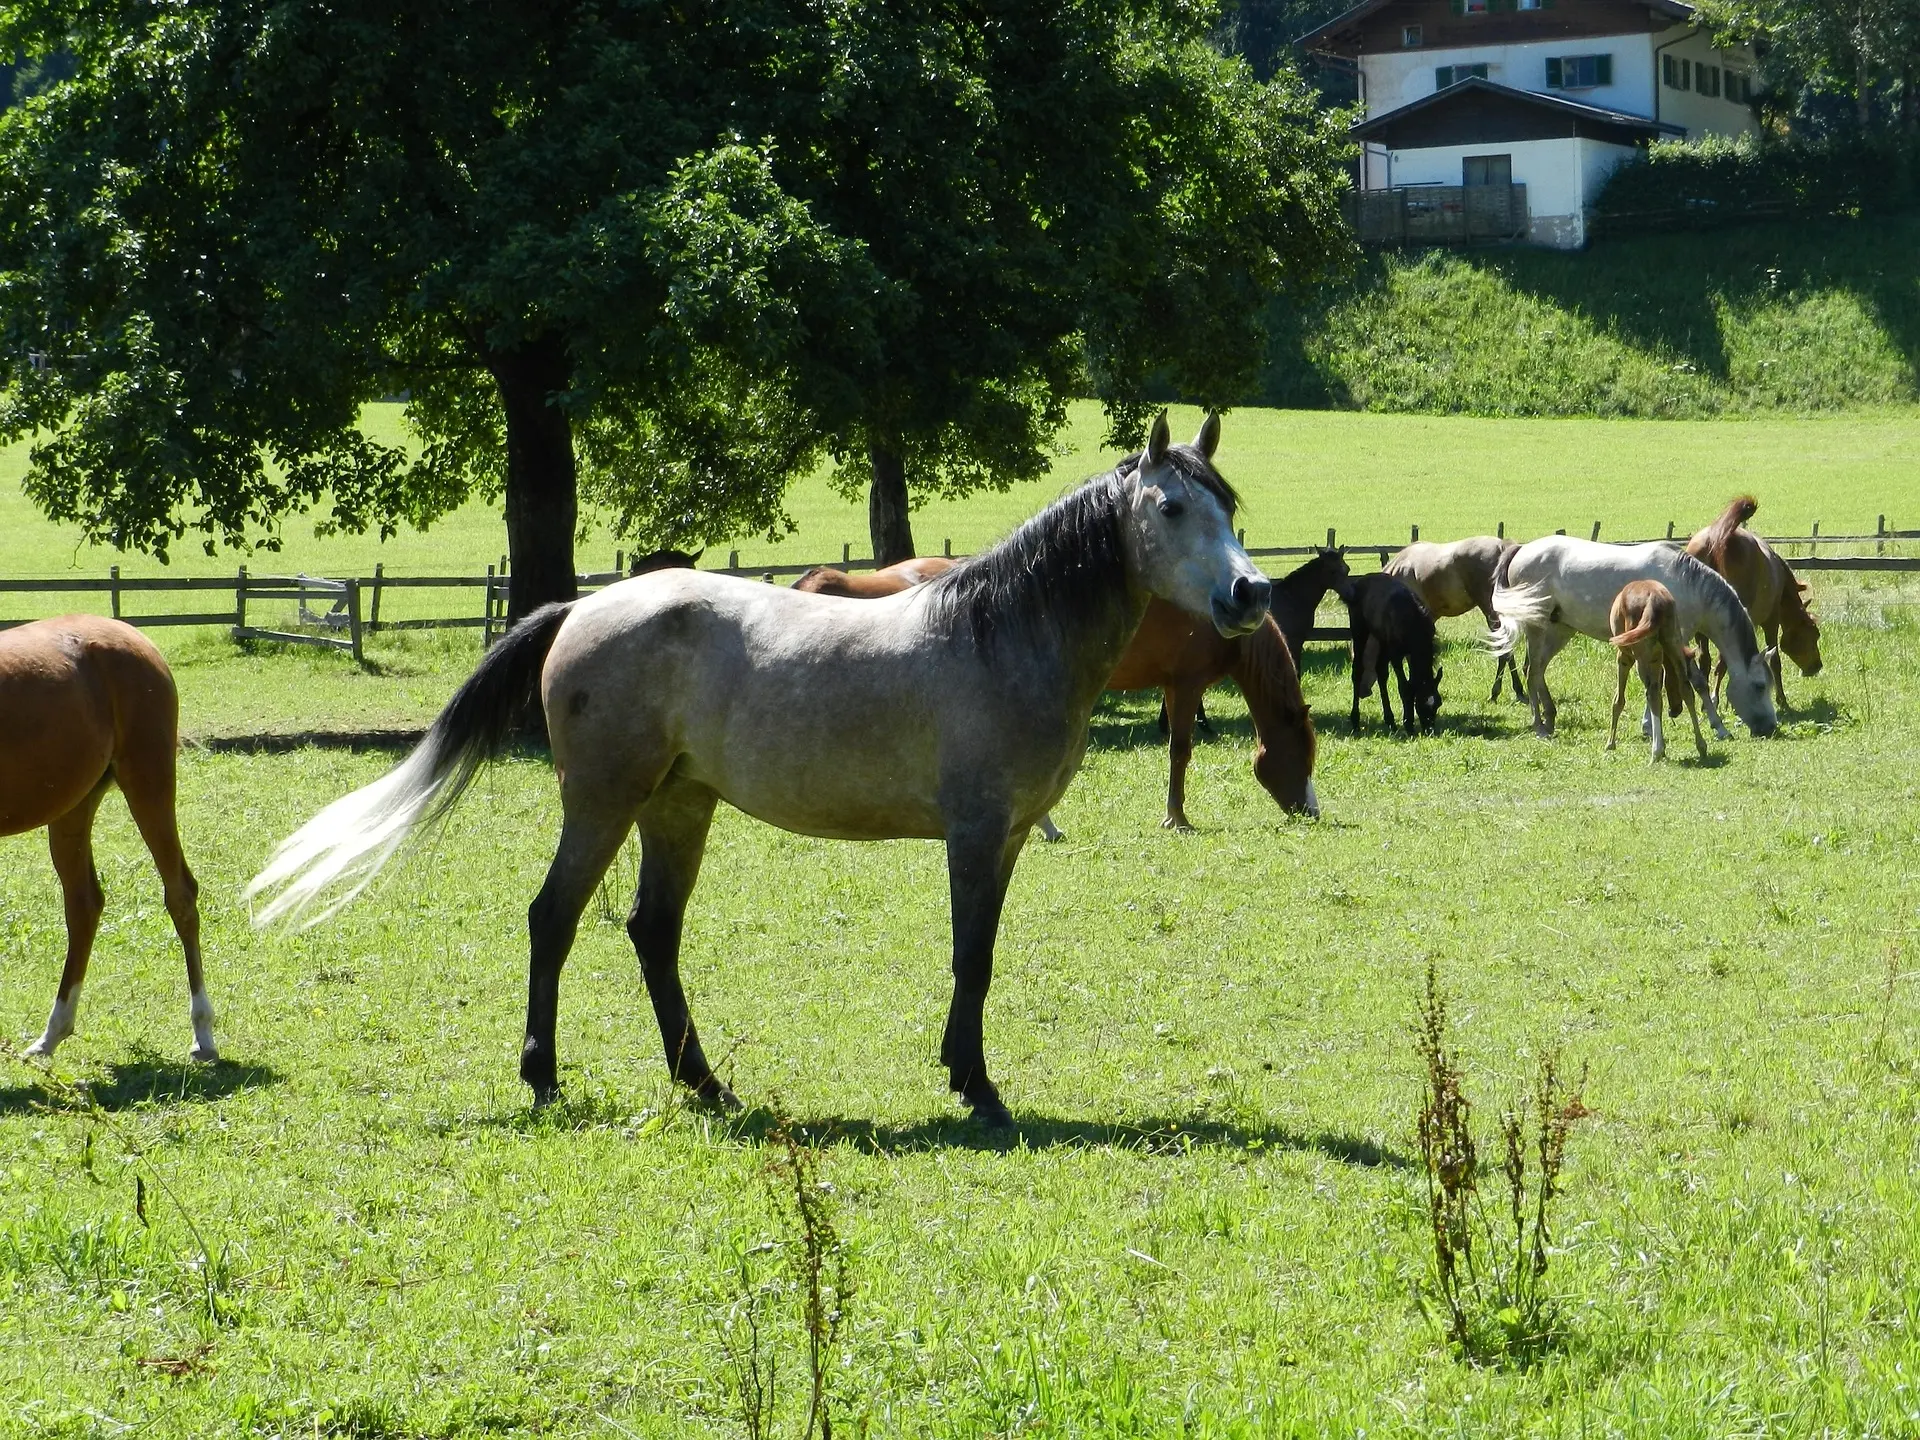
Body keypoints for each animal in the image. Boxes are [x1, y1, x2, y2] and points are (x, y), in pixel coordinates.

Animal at [1, 614, 216, 1067]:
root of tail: (137, 639)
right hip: (73, 808)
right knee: (84, 905)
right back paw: (52, 1033)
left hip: (148, 783)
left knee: (180, 895)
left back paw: (204, 1034)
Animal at [251, 410, 1274, 1136]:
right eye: (1171, 508)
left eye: (1229, 507)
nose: (1249, 592)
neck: (1002, 633)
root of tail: (580, 610)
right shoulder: (977, 835)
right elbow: (971, 958)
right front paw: (977, 1086)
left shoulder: (1012, 837)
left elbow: (978, 956)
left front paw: (963, 1073)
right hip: (605, 803)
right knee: (554, 918)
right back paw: (543, 1076)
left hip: (677, 807)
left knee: (651, 933)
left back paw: (704, 1084)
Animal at [1482, 537, 1781, 744]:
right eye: (1759, 686)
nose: (1770, 727)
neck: (1687, 585)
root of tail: (1521, 550)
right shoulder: (1675, 641)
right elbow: (1680, 682)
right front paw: (1714, 727)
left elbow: (1683, 681)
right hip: (1538, 627)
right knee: (1532, 671)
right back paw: (1540, 727)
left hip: (1560, 631)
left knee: (1538, 671)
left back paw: (1550, 718)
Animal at [1689, 499, 1820, 714]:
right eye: (1814, 634)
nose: (1817, 666)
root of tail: (1719, 538)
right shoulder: (1771, 622)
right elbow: (1774, 660)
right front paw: (1781, 700)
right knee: (1722, 661)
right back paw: (1715, 699)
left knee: (1705, 660)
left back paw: (1707, 702)